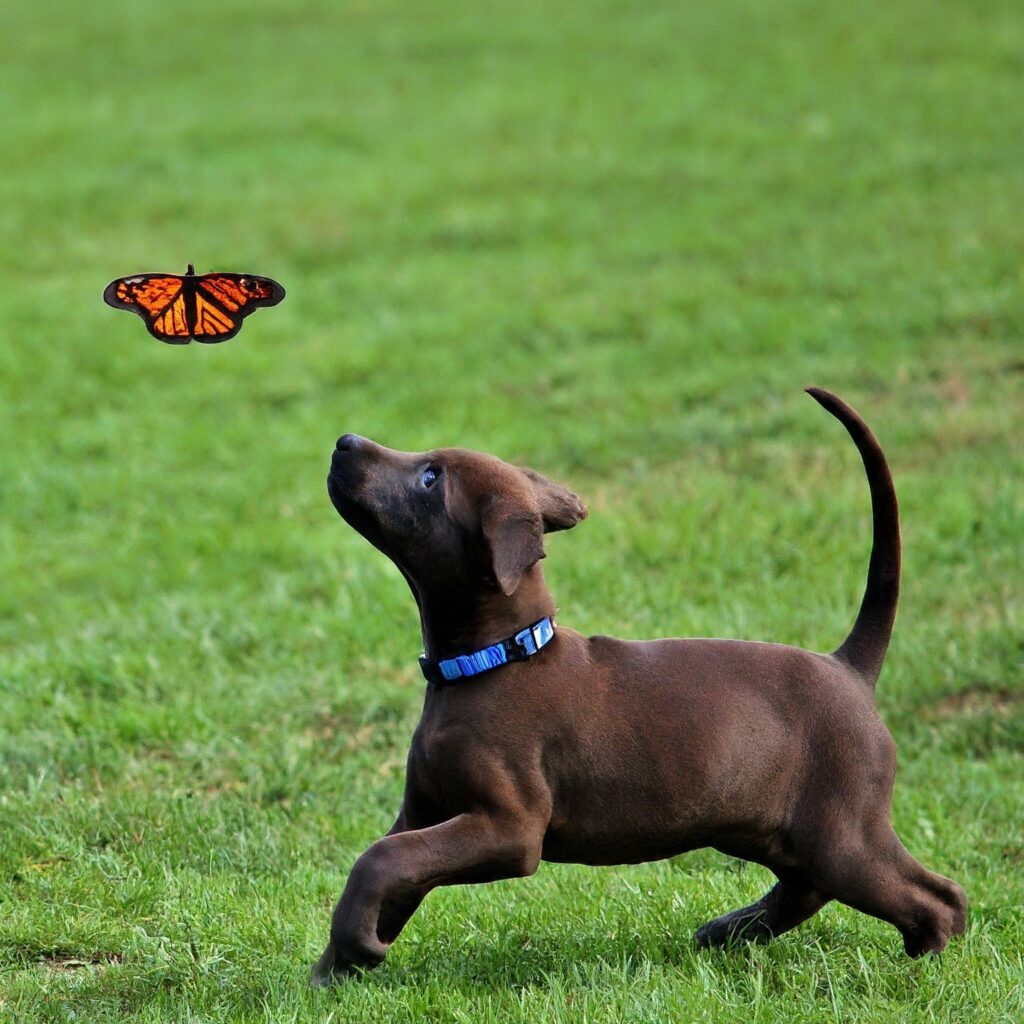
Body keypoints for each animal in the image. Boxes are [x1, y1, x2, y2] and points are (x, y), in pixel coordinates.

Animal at [307, 385, 962, 983]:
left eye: (430, 478)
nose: (343, 441)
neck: (490, 661)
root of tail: (848, 667)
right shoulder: (424, 810)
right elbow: (396, 870)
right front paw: (338, 969)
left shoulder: (509, 828)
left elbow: (382, 859)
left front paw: (356, 949)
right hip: (769, 826)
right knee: (810, 887)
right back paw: (730, 931)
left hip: (844, 833)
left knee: (939, 897)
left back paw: (923, 966)